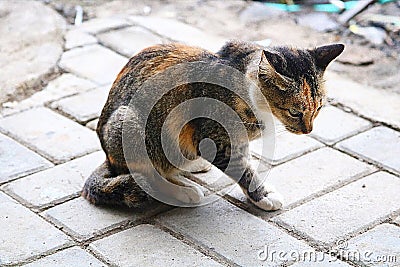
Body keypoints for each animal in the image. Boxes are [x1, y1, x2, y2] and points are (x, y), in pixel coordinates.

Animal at [82, 40, 344, 211]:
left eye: (318, 109)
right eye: (294, 111)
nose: (308, 130)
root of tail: (109, 157)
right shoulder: (217, 141)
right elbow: (243, 170)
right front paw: (262, 196)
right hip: (134, 127)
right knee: (147, 176)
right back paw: (184, 190)